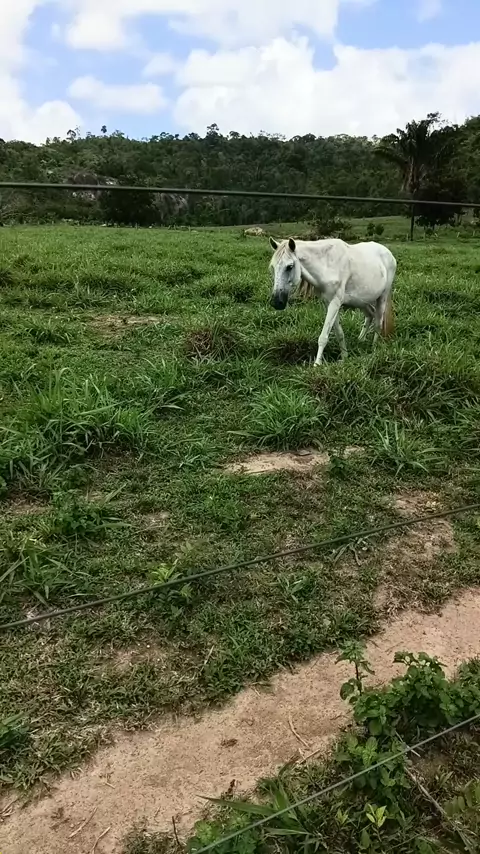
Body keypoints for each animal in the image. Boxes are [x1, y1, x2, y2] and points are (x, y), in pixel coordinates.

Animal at [269, 237, 397, 365]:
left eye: (289, 266)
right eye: (273, 267)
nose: (276, 303)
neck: (327, 265)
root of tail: (388, 253)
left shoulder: (335, 302)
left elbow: (323, 336)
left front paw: (317, 365)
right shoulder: (328, 303)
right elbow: (339, 332)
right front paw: (345, 357)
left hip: (382, 297)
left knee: (378, 323)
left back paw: (373, 349)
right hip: (362, 301)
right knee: (370, 315)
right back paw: (360, 340)